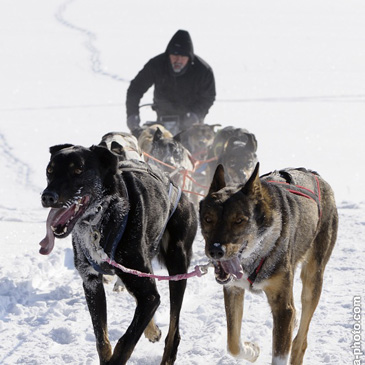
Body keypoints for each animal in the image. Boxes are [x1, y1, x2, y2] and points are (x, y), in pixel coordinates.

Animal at [199, 164, 338, 362]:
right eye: (208, 219)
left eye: (239, 220)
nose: (216, 251)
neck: (257, 252)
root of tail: (314, 174)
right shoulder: (233, 288)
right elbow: (233, 345)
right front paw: (252, 351)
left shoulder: (282, 308)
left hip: (313, 279)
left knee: (300, 340)